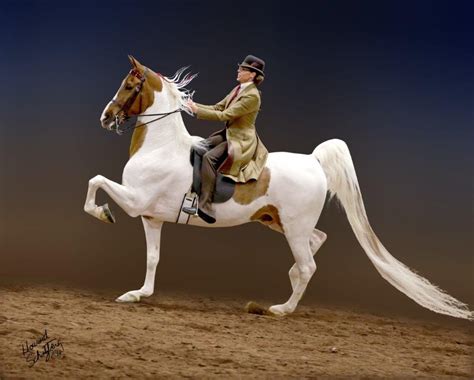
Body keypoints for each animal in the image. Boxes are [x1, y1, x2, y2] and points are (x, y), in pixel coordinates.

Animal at [83, 55, 472, 320]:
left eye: (129, 86)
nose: (105, 118)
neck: (160, 146)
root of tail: (314, 161)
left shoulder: (136, 201)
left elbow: (95, 183)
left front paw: (104, 214)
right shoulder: (151, 216)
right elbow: (153, 257)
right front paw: (137, 294)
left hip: (293, 227)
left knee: (308, 264)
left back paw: (282, 309)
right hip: (279, 222)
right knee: (315, 244)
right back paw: (286, 288)